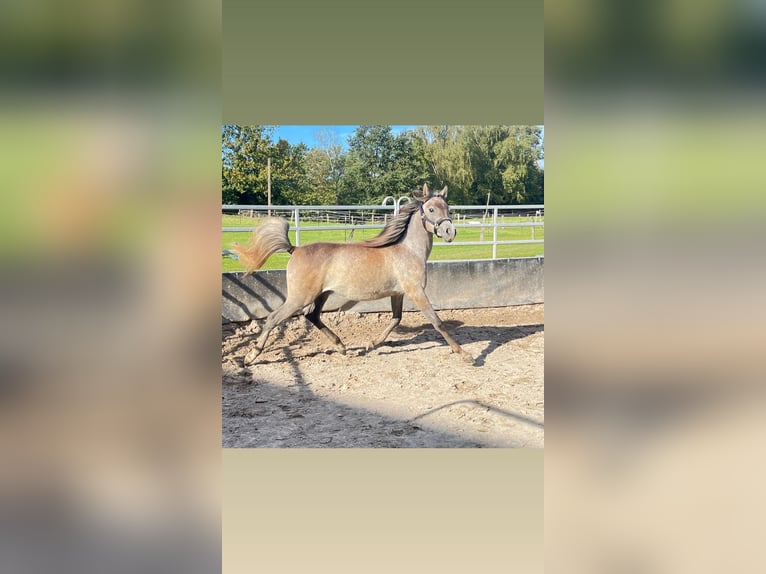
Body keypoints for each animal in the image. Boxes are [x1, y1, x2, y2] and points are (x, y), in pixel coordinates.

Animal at [232, 182, 474, 366]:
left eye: (448, 209)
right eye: (431, 209)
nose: (450, 232)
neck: (408, 250)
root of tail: (295, 249)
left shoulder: (398, 294)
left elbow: (396, 319)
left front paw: (370, 344)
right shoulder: (416, 291)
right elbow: (436, 321)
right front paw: (466, 355)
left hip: (322, 294)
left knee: (312, 316)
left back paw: (341, 347)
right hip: (299, 297)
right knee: (274, 318)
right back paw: (250, 356)